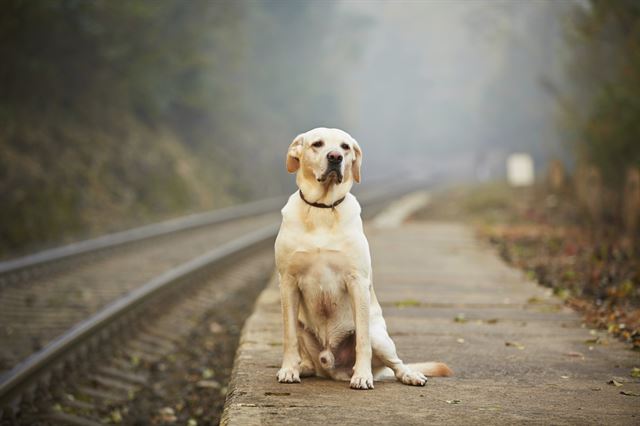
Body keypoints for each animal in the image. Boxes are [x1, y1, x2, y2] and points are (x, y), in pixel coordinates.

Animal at [274, 127, 450, 390]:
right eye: (317, 144)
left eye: (345, 147)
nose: (335, 157)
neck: (322, 209)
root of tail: (333, 370)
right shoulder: (288, 281)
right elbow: (289, 337)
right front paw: (288, 369)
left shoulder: (357, 281)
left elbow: (362, 342)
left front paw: (362, 376)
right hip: (302, 324)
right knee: (308, 356)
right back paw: (303, 367)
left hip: (380, 337)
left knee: (395, 362)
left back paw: (406, 375)